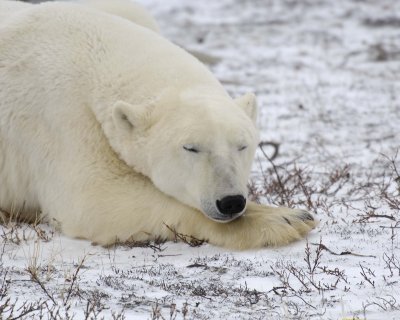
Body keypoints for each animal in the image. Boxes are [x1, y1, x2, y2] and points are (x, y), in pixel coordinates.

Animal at [0, 1, 316, 249]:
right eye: (191, 148)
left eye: (242, 145)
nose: (231, 202)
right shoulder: (59, 117)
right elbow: (94, 197)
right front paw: (286, 219)